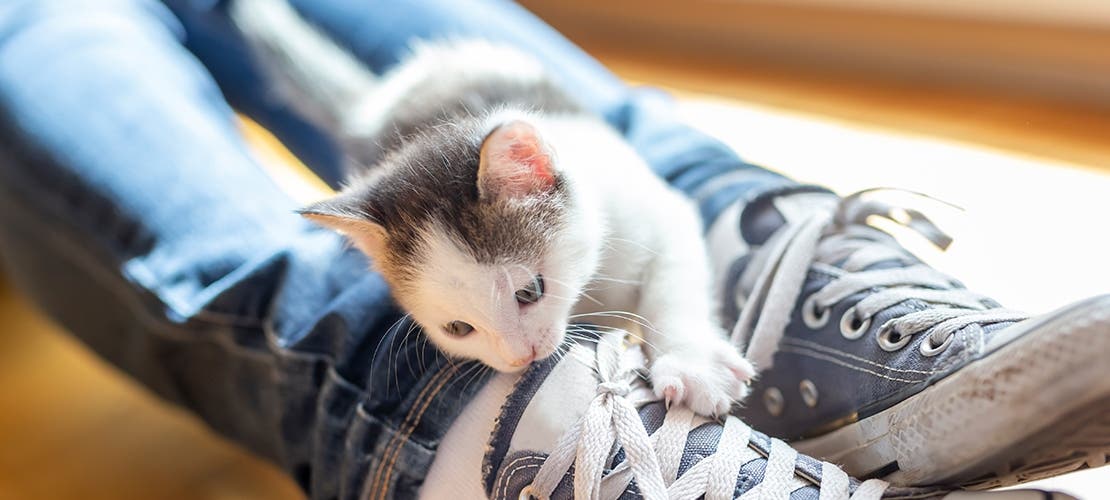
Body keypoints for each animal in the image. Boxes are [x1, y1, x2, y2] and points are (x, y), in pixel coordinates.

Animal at [233, 0, 754, 413]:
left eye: (529, 292)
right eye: (459, 328)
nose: (520, 356)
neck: (589, 287)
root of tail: (382, 97)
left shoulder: (658, 210)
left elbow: (674, 286)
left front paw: (692, 364)